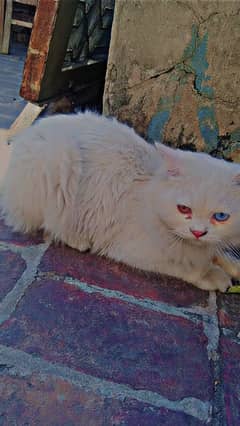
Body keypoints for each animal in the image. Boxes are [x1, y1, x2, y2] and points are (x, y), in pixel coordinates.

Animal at [0, 110, 240, 292]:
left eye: (220, 216)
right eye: (183, 209)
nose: (198, 232)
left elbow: (220, 254)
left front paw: (232, 266)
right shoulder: (134, 250)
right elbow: (188, 267)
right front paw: (214, 276)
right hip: (60, 162)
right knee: (52, 225)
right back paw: (79, 240)